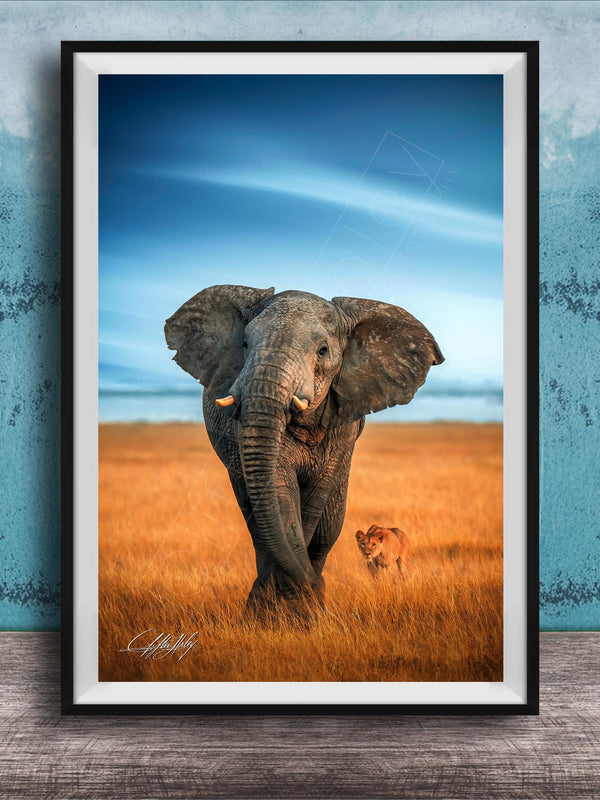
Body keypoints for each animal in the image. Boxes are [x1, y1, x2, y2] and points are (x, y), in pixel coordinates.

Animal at [164, 285, 443, 616]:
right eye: (244, 344)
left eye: (322, 350)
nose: (313, 588)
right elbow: (281, 494)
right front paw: (284, 610)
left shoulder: (342, 426)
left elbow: (314, 501)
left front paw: (303, 609)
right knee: (255, 522)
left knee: (328, 527)